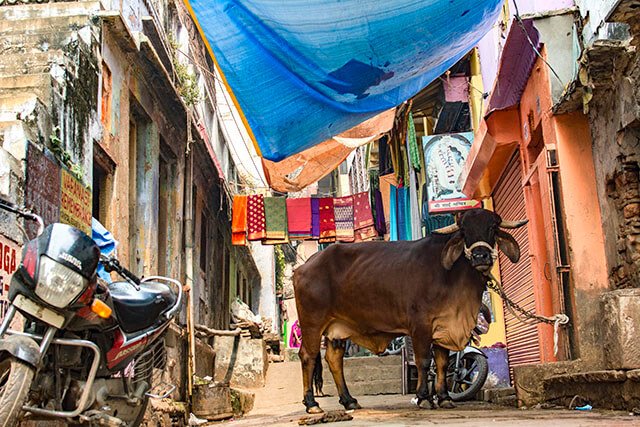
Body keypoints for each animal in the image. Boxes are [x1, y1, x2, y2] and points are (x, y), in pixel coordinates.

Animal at [296, 209, 524, 412]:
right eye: (464, 230)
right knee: (308, 355)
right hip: (312, 323)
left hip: (337, 330)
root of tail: (303, 268)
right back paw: (312, 404)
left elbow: (442, 364)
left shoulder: (444, 327)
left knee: (334, 359)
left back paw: (349, 400)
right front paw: (424, 397)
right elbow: (424, 361)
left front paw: (444, 398)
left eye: (492, 227)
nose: (480, 256)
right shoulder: (420, 325)